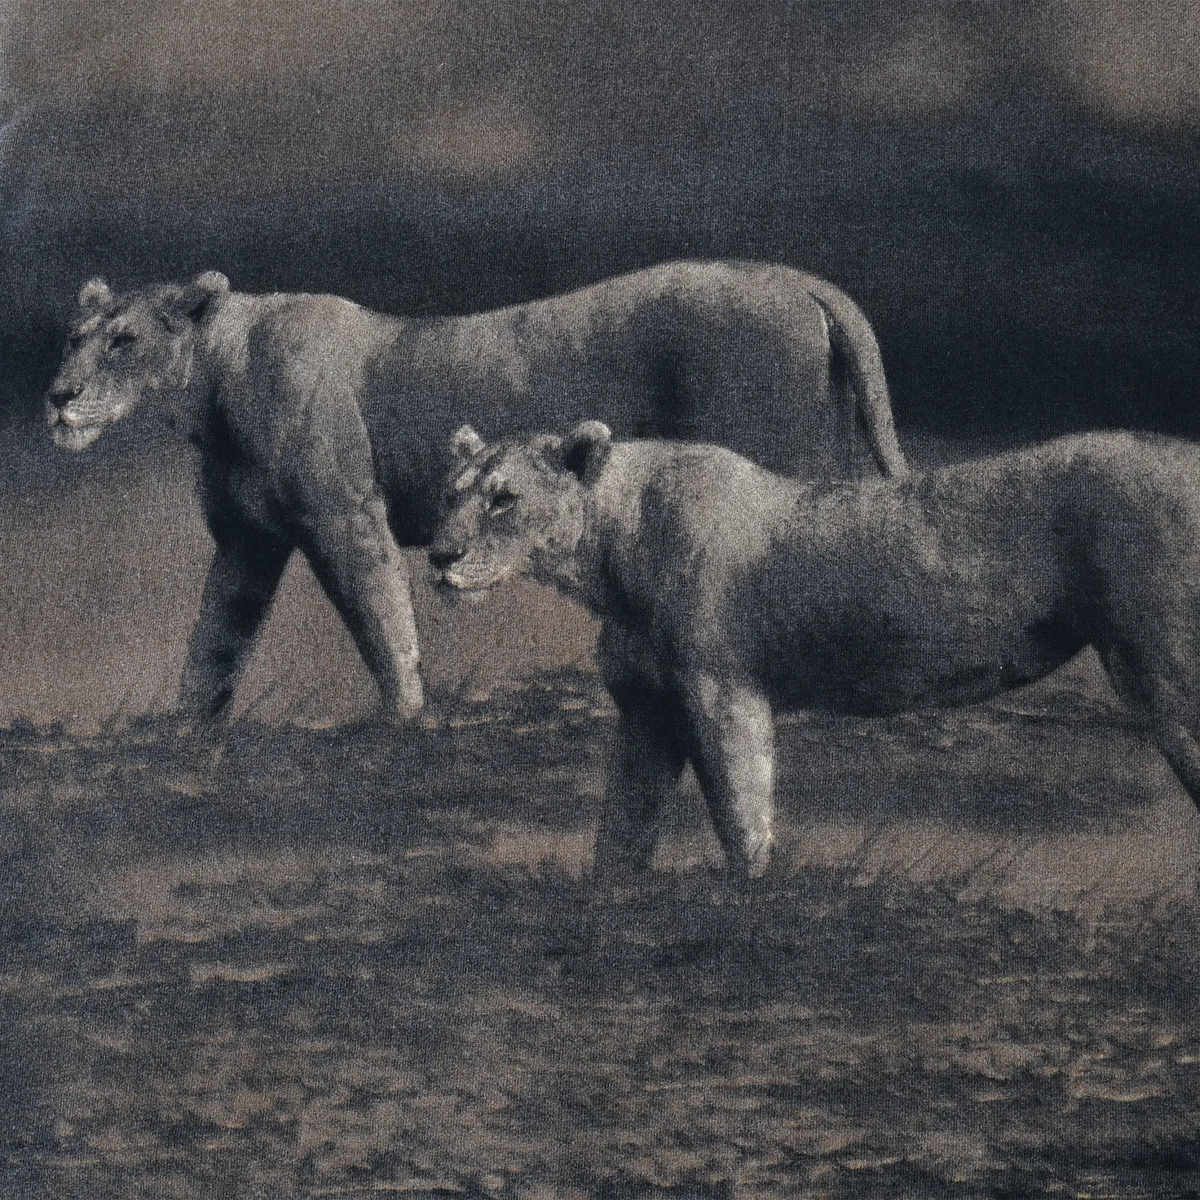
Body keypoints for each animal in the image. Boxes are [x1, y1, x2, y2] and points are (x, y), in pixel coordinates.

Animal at [46, 261, 907, 723]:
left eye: (124, 342)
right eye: (73, 339)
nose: (58, 396)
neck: (209, 384)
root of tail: (798, 280)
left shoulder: (343, 516)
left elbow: (380, 621)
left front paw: (405, 716)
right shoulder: (246, 540)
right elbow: (215, 639)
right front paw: (185, 726)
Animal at [430, 421, 1200, 880]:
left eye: (504, 498)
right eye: (451, 493)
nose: (439, 556)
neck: (608, 555)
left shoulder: (722, 693)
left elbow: (741, 816)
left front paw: (747, 901)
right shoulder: (647, 709)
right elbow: (622, 826)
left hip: (1165, 670)